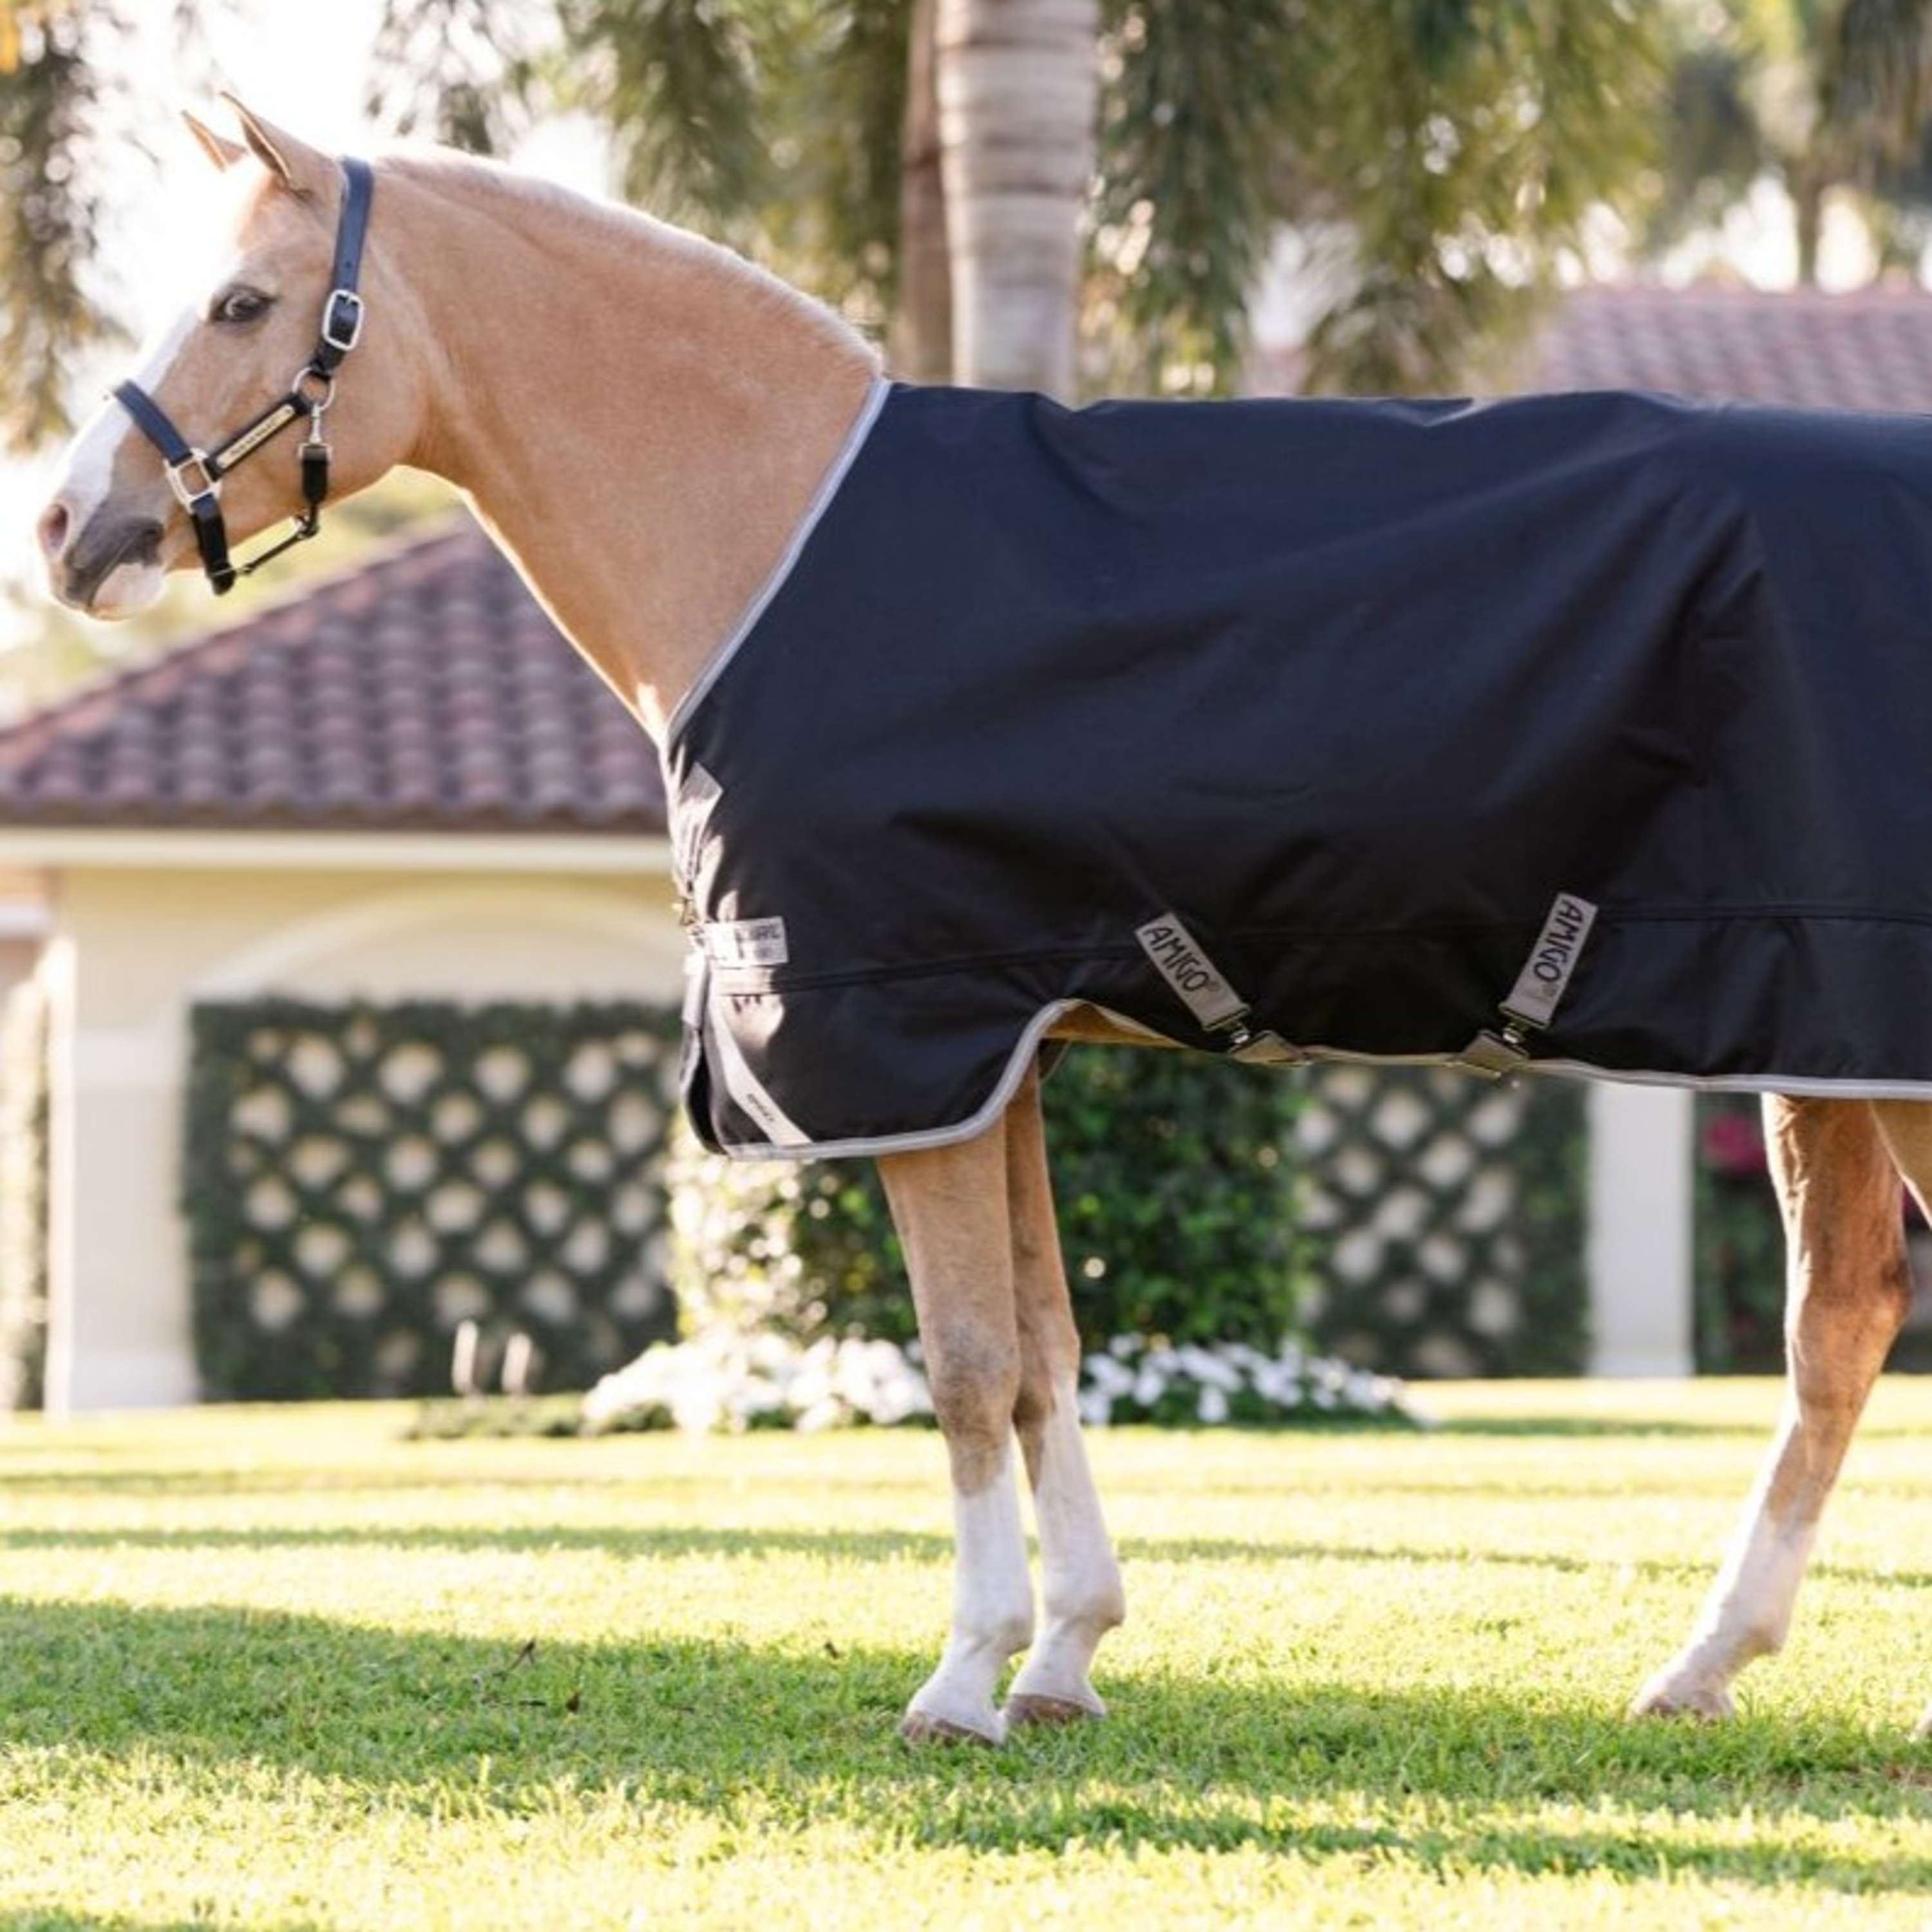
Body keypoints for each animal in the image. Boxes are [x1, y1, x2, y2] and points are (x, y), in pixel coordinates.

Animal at [35, 98, 1932, 1747]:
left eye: (242, 302)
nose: (62, 527)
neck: (771, 527)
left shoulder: (903, 1036)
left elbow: (955, 1366)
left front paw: (960, 1678)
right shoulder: (996, 1050)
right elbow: (1040, 1351)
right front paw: (1067, 1656)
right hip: (1824, 1052)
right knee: (1836, 1329)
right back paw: (1701, 1664)